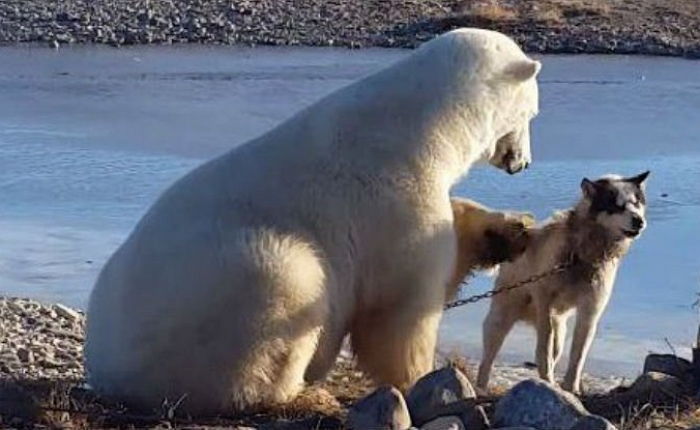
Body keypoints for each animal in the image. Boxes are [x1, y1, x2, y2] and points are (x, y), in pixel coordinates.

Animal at [83, 27, 540, 416]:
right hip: (222, 288)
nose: (523, 162)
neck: (424, 127)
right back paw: (298, 391)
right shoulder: (393, 200)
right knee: (290, 282)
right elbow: (400, 307)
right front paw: (420, 377)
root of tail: (105, 369)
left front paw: (508, 231)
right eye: (532, 113)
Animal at [476, 170, 652, 394]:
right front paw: (549, 381)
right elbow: (544, 347)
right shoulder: (545, 303)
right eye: (616, 206)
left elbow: (578, 355)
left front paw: (571, 388)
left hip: (559, 330)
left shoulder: (590, 311)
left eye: (636, 203)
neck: (582, 254)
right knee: (488, 359)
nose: (639, 221)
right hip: (501, 319)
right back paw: (481, 387)